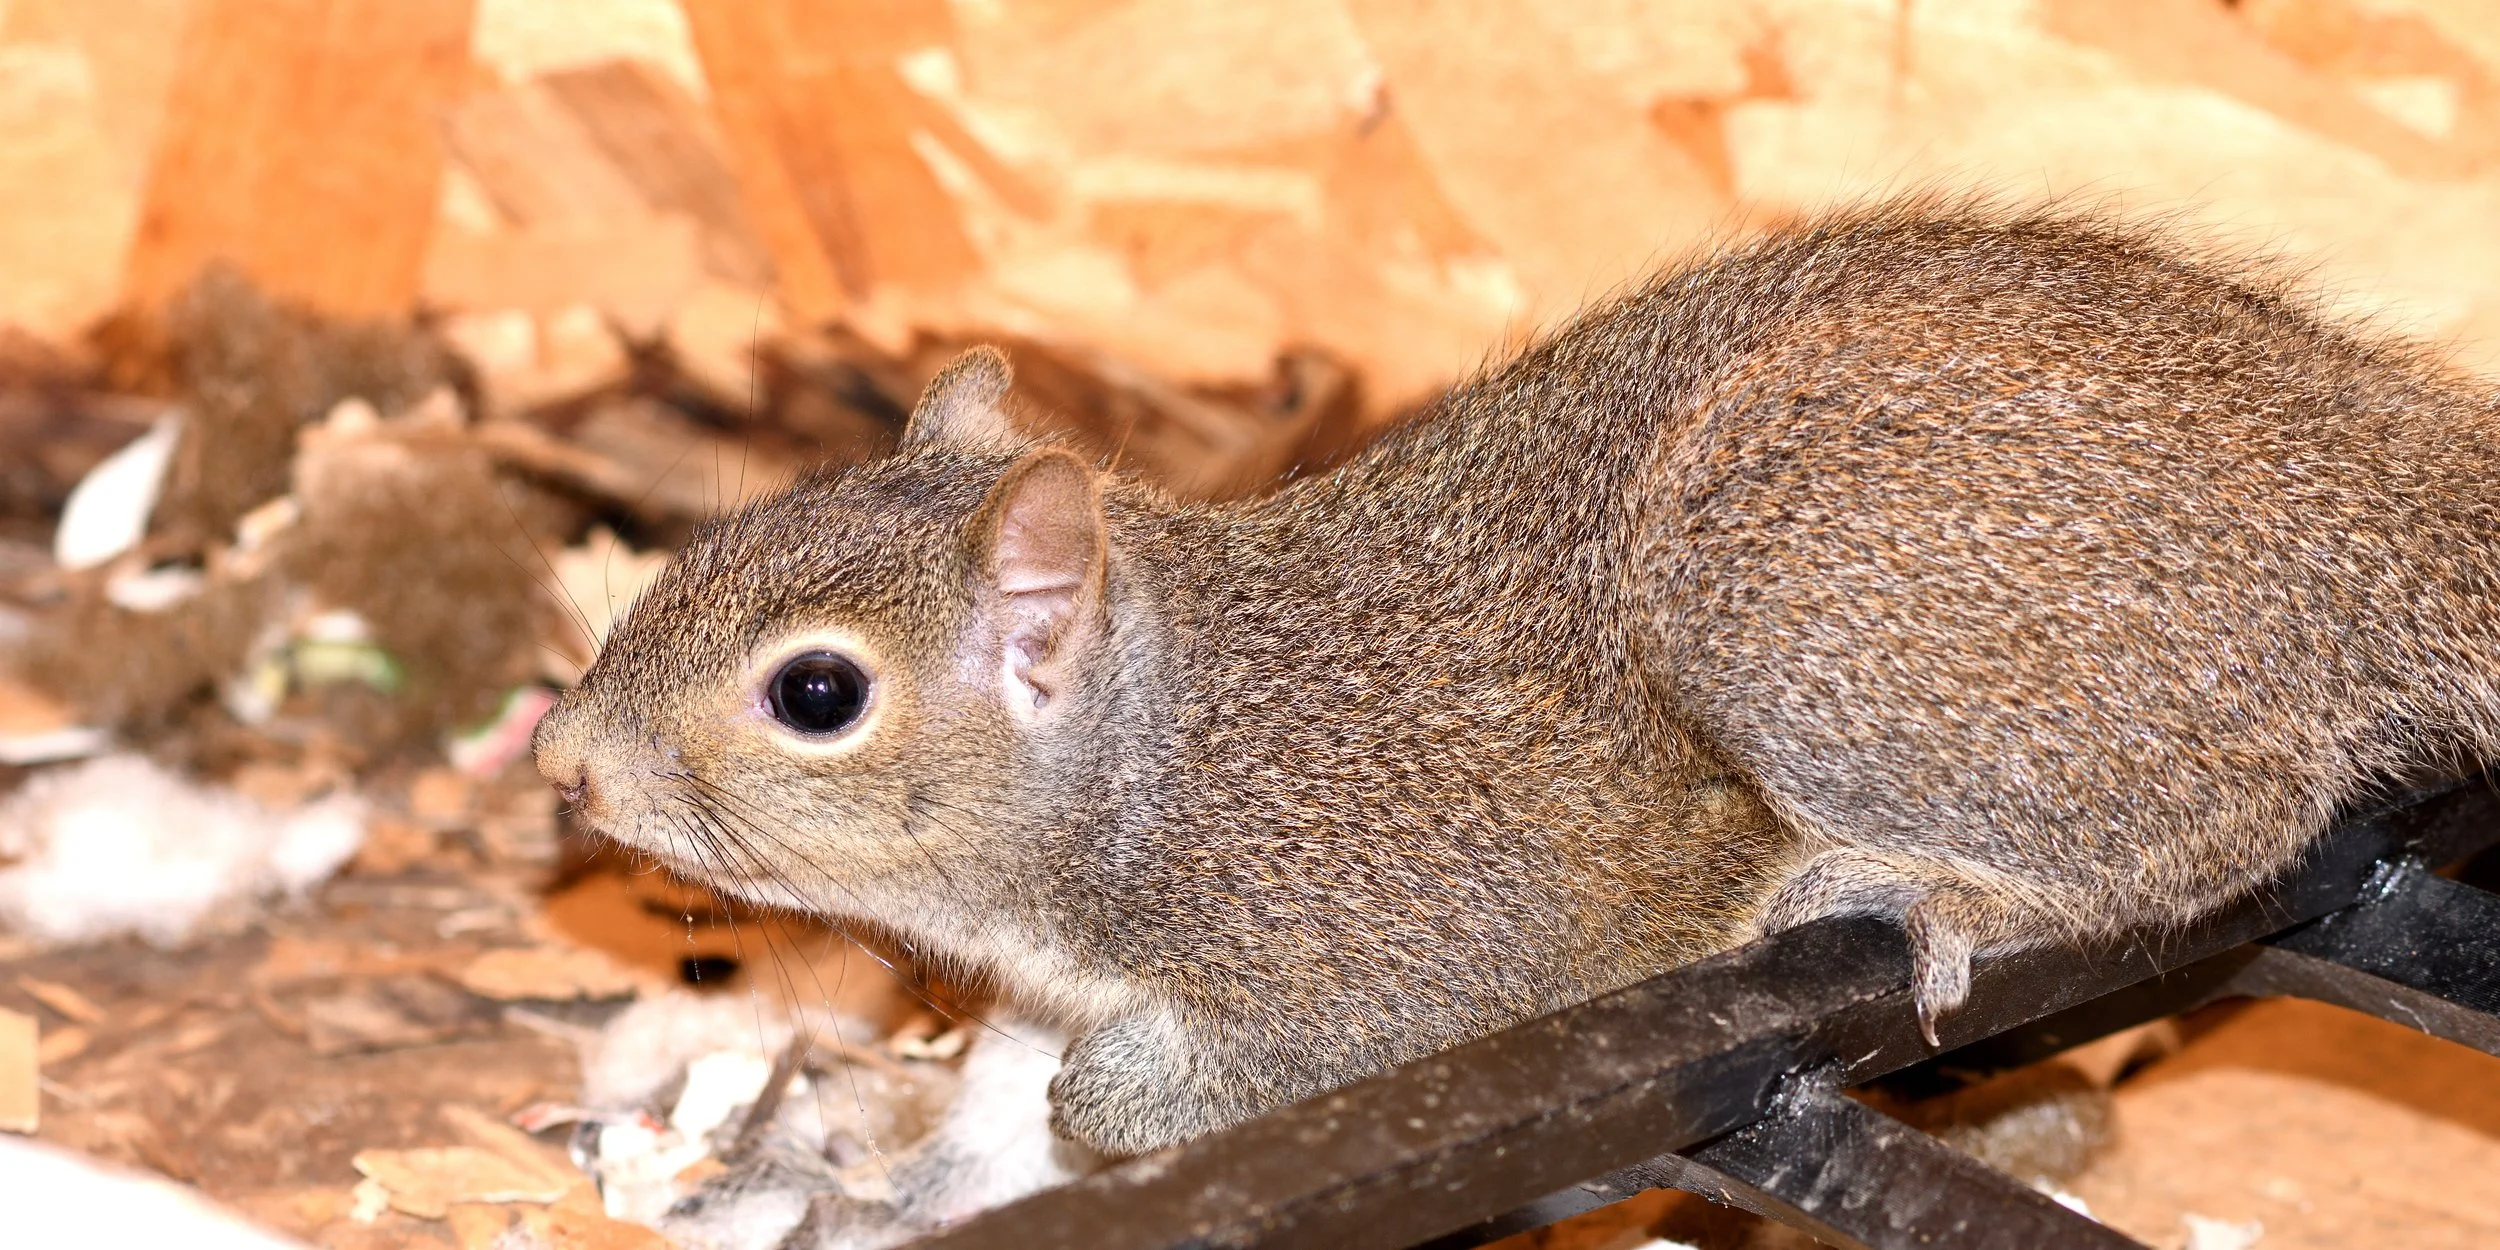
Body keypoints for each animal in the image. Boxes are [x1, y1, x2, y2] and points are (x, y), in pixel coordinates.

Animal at [532, 198, 2500, 1245]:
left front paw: (1110, 1102)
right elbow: (1004, 1118)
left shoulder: (1395, 948)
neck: (1174, 752)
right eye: (734, 527)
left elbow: (1235, 1069)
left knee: (2219, 824)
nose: (565, 761)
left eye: (817, 694)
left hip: (1808, 596)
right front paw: (877, 1187)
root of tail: (2371, 498)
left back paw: (1943, 890)